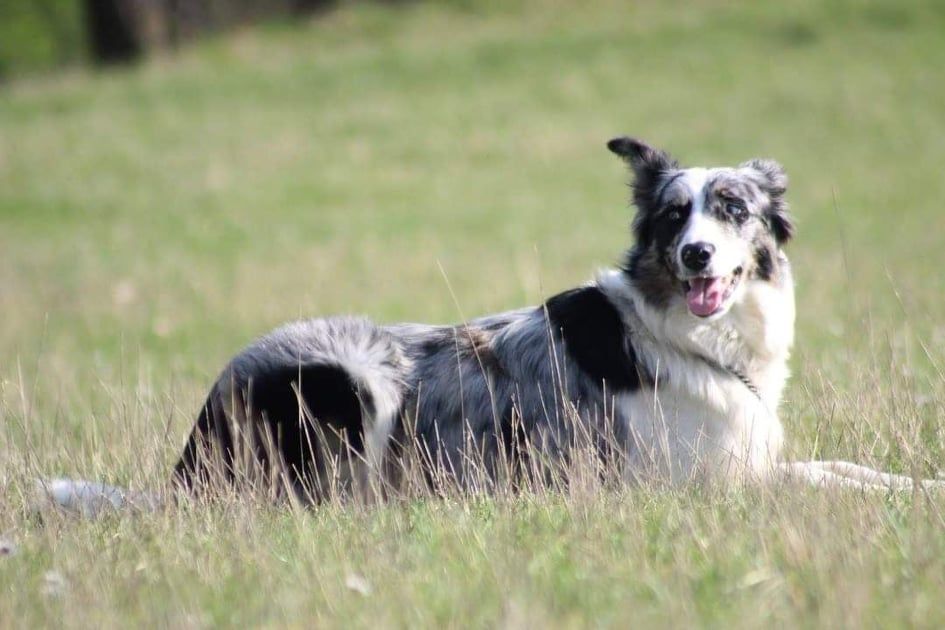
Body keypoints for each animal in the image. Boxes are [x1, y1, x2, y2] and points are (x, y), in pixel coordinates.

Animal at [33, 136, 940, 516]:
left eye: (732, 208)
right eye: (673, 214)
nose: (695, 255)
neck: (688, 342)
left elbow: (843, 468)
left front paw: (917, 488)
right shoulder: (699, 483)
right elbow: (815, 481)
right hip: (348, 379)